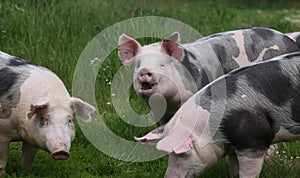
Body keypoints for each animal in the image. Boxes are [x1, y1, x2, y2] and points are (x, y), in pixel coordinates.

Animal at [118, 27, 300, 126]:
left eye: (162, 64)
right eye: (138, 64)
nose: (144, 71)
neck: (170, 103)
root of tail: (289, 40)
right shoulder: (156, 112)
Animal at [137, 51, 300, 178]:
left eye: (183, 153)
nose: (169, 176)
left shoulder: (254, 140)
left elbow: (247, 172)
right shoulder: (234, 146)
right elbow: (234, 169)